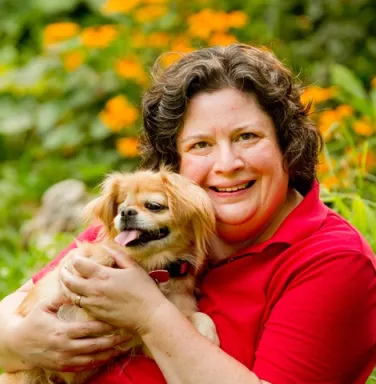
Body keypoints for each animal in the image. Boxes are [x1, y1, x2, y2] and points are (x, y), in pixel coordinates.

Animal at [0, 170, 219, 384]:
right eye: (120, 207)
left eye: (154, 206)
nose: (126, 212)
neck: (151, 266)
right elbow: (101, 251)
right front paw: (103, 256)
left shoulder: (154, 335)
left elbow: (200, 316)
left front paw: (209, 334)